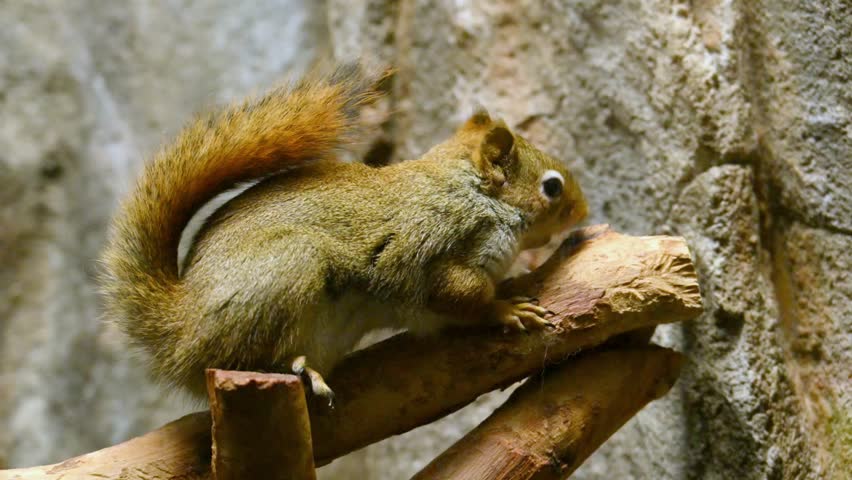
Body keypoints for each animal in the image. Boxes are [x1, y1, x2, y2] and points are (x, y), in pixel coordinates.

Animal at [100, 64, 588, 402]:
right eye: (551, 187)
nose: (582, 210)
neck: (473, 191)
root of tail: (178, 330)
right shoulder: (448, 243)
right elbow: (462, 295)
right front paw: (506, 308)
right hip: (289, 267)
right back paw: (299, 368)